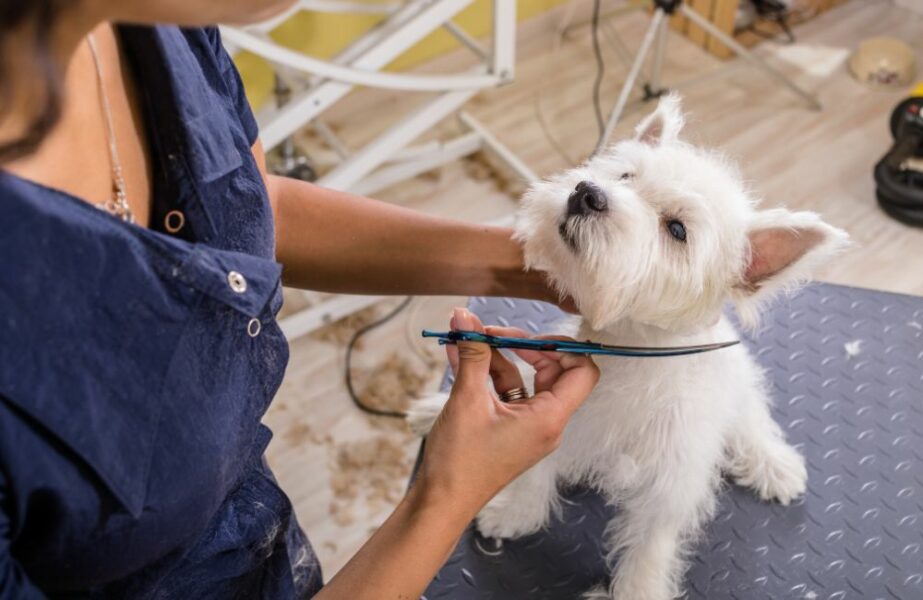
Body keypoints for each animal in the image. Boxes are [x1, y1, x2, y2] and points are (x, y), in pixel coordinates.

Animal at [412, 96, 852, 596]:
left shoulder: (670, 480)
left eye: (677, 230)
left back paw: (775, 465)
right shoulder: (565, 419)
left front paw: (637, 588)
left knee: (751, 421)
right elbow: (536, 469)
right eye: (625, 176)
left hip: (738, 387)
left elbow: (651, 544)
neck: (630, 350)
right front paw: (515, 512)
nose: (587, 193)